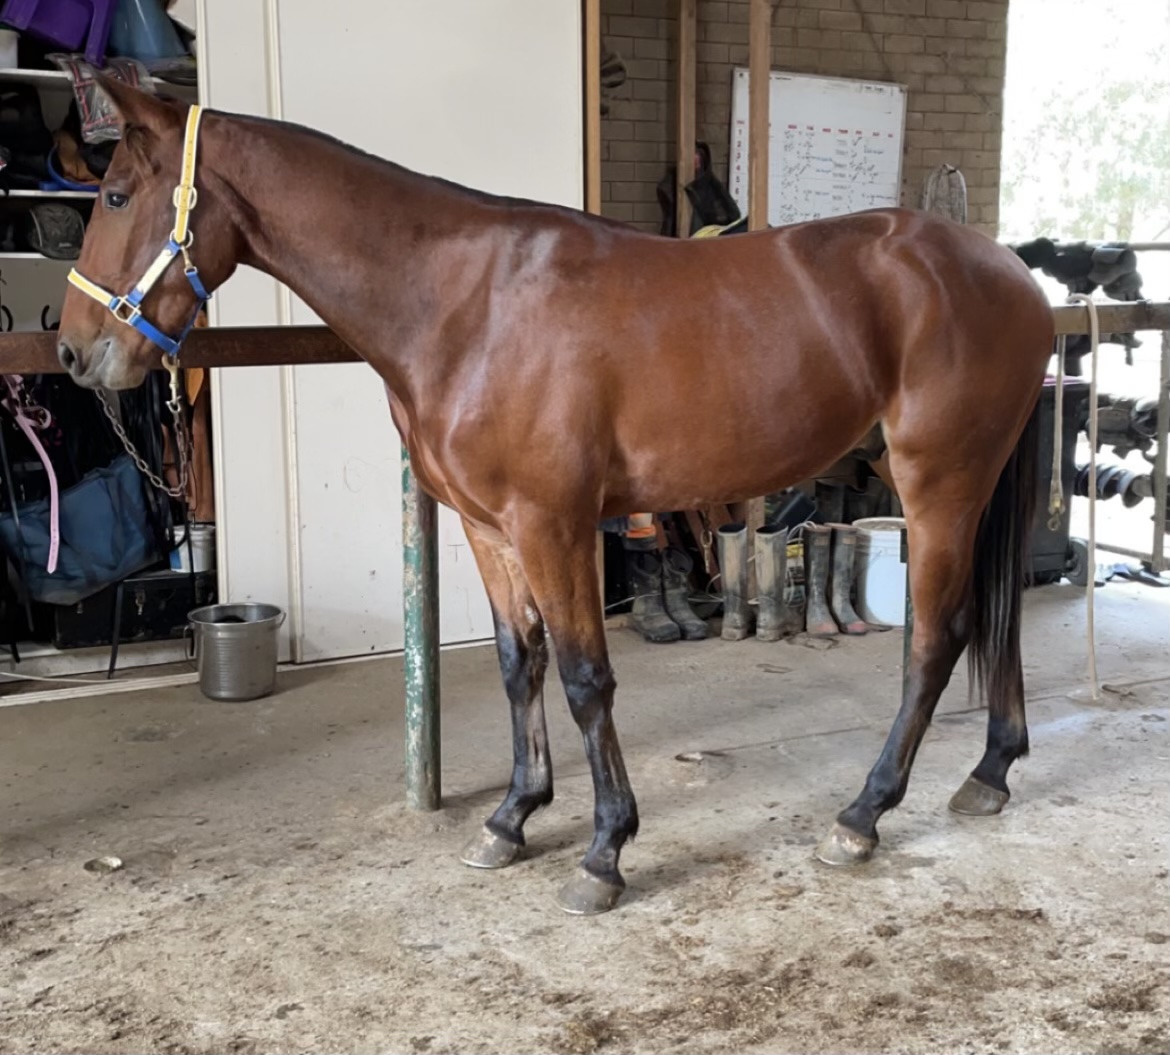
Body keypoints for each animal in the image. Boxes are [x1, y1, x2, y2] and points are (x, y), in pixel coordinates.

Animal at [57, 76, 1056, 916]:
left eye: (115, 197)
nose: (71, 351)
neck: (465, 304)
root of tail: (1011, 275)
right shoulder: (488, 527)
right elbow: (517, 662)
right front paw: (512, 815)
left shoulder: (554, 524)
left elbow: (583, 677)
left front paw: (606, 850)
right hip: (972, 484)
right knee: (995, 620)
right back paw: (991, 772)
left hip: (939, 483)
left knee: (936, 639)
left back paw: (862, 815)